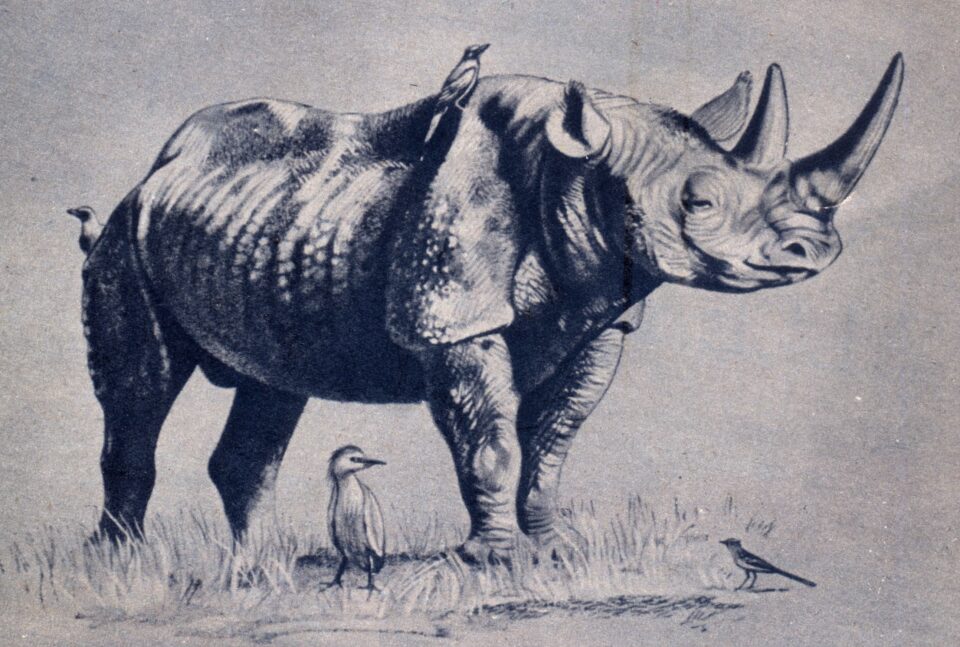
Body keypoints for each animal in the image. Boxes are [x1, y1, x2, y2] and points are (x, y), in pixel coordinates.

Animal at [78, 51, 903, 562]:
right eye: (696, 203)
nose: (813, 249)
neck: (578, 171)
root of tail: (158, 172)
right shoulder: (453, 317)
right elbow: (491, 436)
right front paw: (494, 559)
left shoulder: (598, 319)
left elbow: (554, 439)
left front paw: (553, 549)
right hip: (123, 237)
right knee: (141, 391)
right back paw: (122, 562)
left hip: (267, 231)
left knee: (272, 387)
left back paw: (257, 566)